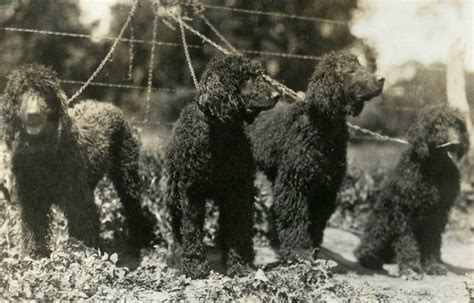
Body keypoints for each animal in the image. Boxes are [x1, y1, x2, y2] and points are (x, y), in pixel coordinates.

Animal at [0, 64, 156, 258]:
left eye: (44, 91)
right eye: (21, 91)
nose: (33, 115)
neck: (43, 151)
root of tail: (107, 104)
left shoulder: (77, 199)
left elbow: (82, 229)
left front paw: (82, 256)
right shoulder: (32, 200)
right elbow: (34, 230)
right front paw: (35, 256)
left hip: (126, 176)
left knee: (134, 208)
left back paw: (139, 242)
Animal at [163, 55, 280, 280]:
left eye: (259, 75)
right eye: (246, 78)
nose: (277, 95)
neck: (220, 132)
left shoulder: (240, 191)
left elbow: (237, 229)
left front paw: (238, 264)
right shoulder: (191, 192)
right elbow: (191, 228)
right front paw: (193, 264)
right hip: (173, 194)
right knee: (177, 225)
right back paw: (177, 254)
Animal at [248, 52, 386, 262]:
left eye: (361, 66)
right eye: (350, 71)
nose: (381, 79)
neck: (323, 125)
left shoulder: (326, 186)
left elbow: (317, 220)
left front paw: (312, 247)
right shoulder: (294, 182)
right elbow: (295, 216)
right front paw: (299, 251)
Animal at [356, 106, 470, 278]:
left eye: (458, 124)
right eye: (437, 125)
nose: (455, 143)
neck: (434, 169)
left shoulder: (438, 214)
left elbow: (433, 242)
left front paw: (432, 265)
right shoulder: (404, 212)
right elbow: (407, 241)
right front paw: (411, 267)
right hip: (382, 222)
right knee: (368, 247)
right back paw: (371, 260)